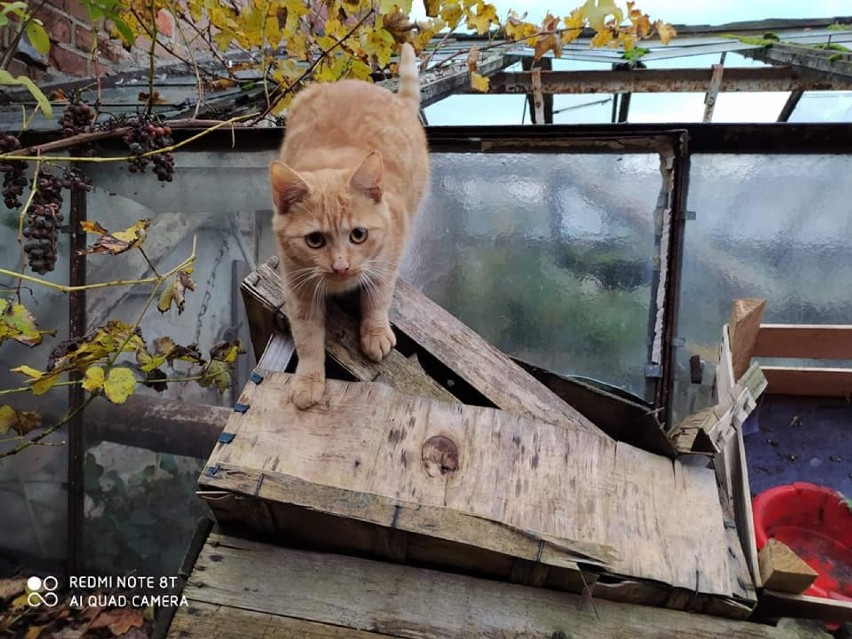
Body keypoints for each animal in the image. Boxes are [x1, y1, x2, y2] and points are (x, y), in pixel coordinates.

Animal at [270, 42, 430, 410]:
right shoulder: (298, 289)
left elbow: (378, 298)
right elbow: (307, 338)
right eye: (315, 240)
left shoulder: (386, 259)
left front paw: (375, 333)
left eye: (359, 235)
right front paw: (308, 380)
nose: (341, 266)